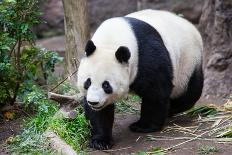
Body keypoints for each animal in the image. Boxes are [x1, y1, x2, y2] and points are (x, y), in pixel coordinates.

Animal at [76, 9, 203, 149]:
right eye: (87, 82)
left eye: (106, 85)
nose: (93, 102)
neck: (112, 40)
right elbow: (99, 114)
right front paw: (100, 141)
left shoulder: (146, 56)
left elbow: (156, 93)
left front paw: (143, 126)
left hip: (188, 62)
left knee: (188, 93)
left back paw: (172, 108)